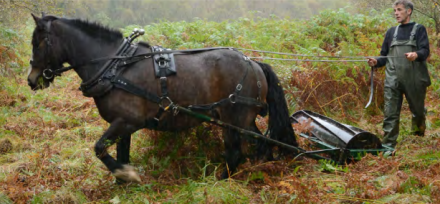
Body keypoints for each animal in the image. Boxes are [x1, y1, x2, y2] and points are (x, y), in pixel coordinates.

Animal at [28, 13, 300, 183]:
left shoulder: (127, 121)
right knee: (260, 146)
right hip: (242, 120)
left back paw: (221, 180)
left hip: (234, 120)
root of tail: (253, 63)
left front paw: (127, 175)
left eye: (38, 43)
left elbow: (100, 148)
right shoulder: (122, 126)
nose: (32, 80)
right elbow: (121, 153)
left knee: (236, 153)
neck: (114, 68)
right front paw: (123, 182)